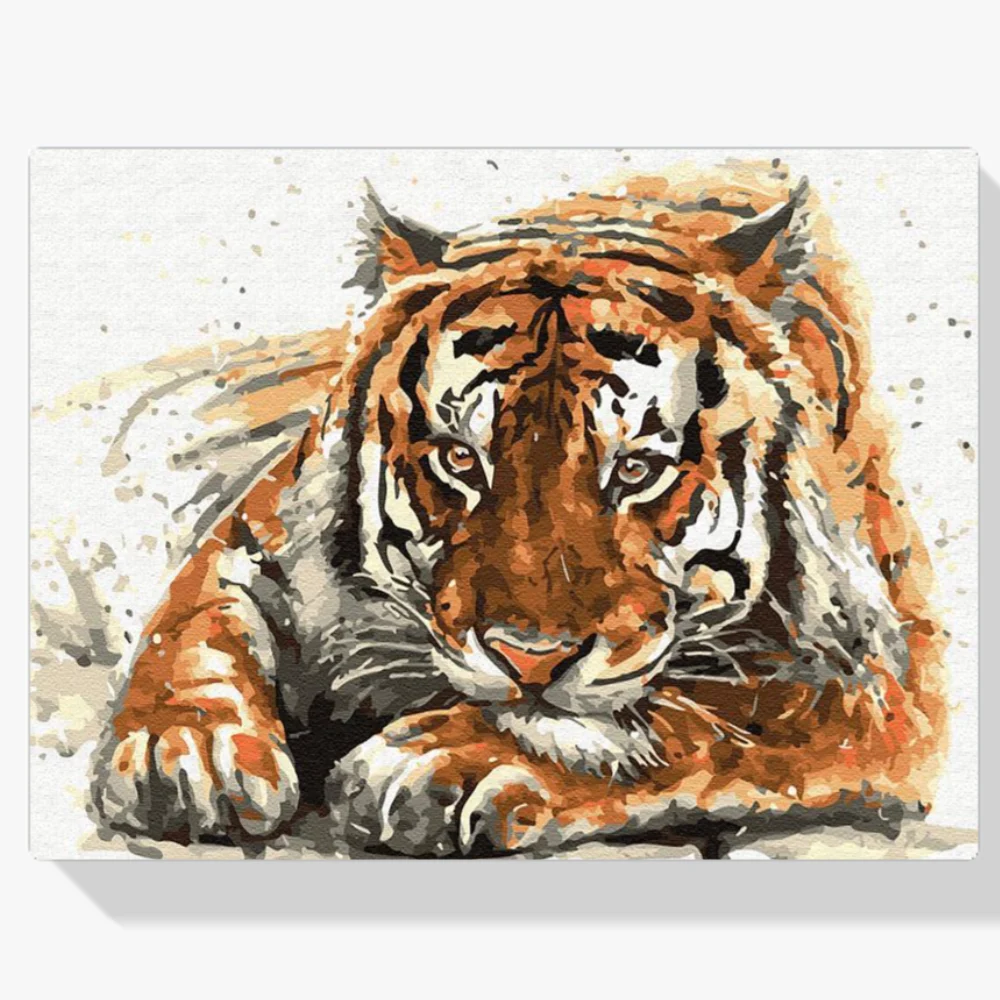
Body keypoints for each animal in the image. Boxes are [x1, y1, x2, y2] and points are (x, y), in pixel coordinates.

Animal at [93, 160, 947, 857]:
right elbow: (194, 618)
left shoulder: (878, 675)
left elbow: (704, 712)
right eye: (460, 459)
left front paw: (447, 761)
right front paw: (185, 746)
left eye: (636, 469)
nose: (529, 660)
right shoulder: (261, 532)